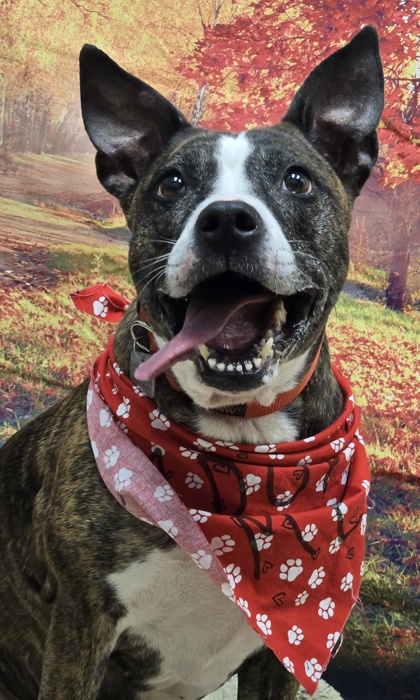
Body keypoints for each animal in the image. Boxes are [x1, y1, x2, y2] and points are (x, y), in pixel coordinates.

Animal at [0, 25, 383, 700]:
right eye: (172, 183)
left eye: (297, 180)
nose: (227, 219)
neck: (241, 445)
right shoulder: (79, 628)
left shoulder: (279, 658)